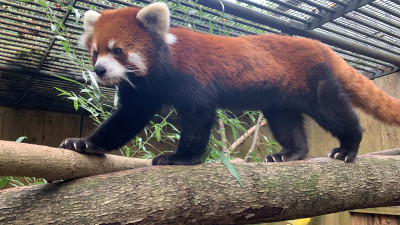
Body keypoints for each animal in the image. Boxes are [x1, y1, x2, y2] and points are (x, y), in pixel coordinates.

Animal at [59, 2, 400, 165]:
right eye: (95, 52)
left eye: (118, 50)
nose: (100, 71)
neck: (160, 71)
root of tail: (319, 45)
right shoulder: (143, 91)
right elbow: (125, 121)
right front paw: (85, 143)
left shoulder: (192, 79)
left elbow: (198, 118)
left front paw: (181, 158)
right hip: (280, 98)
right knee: (287, 123)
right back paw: (290, 152)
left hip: (313, 81)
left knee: (334, 111)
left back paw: (348, 147)